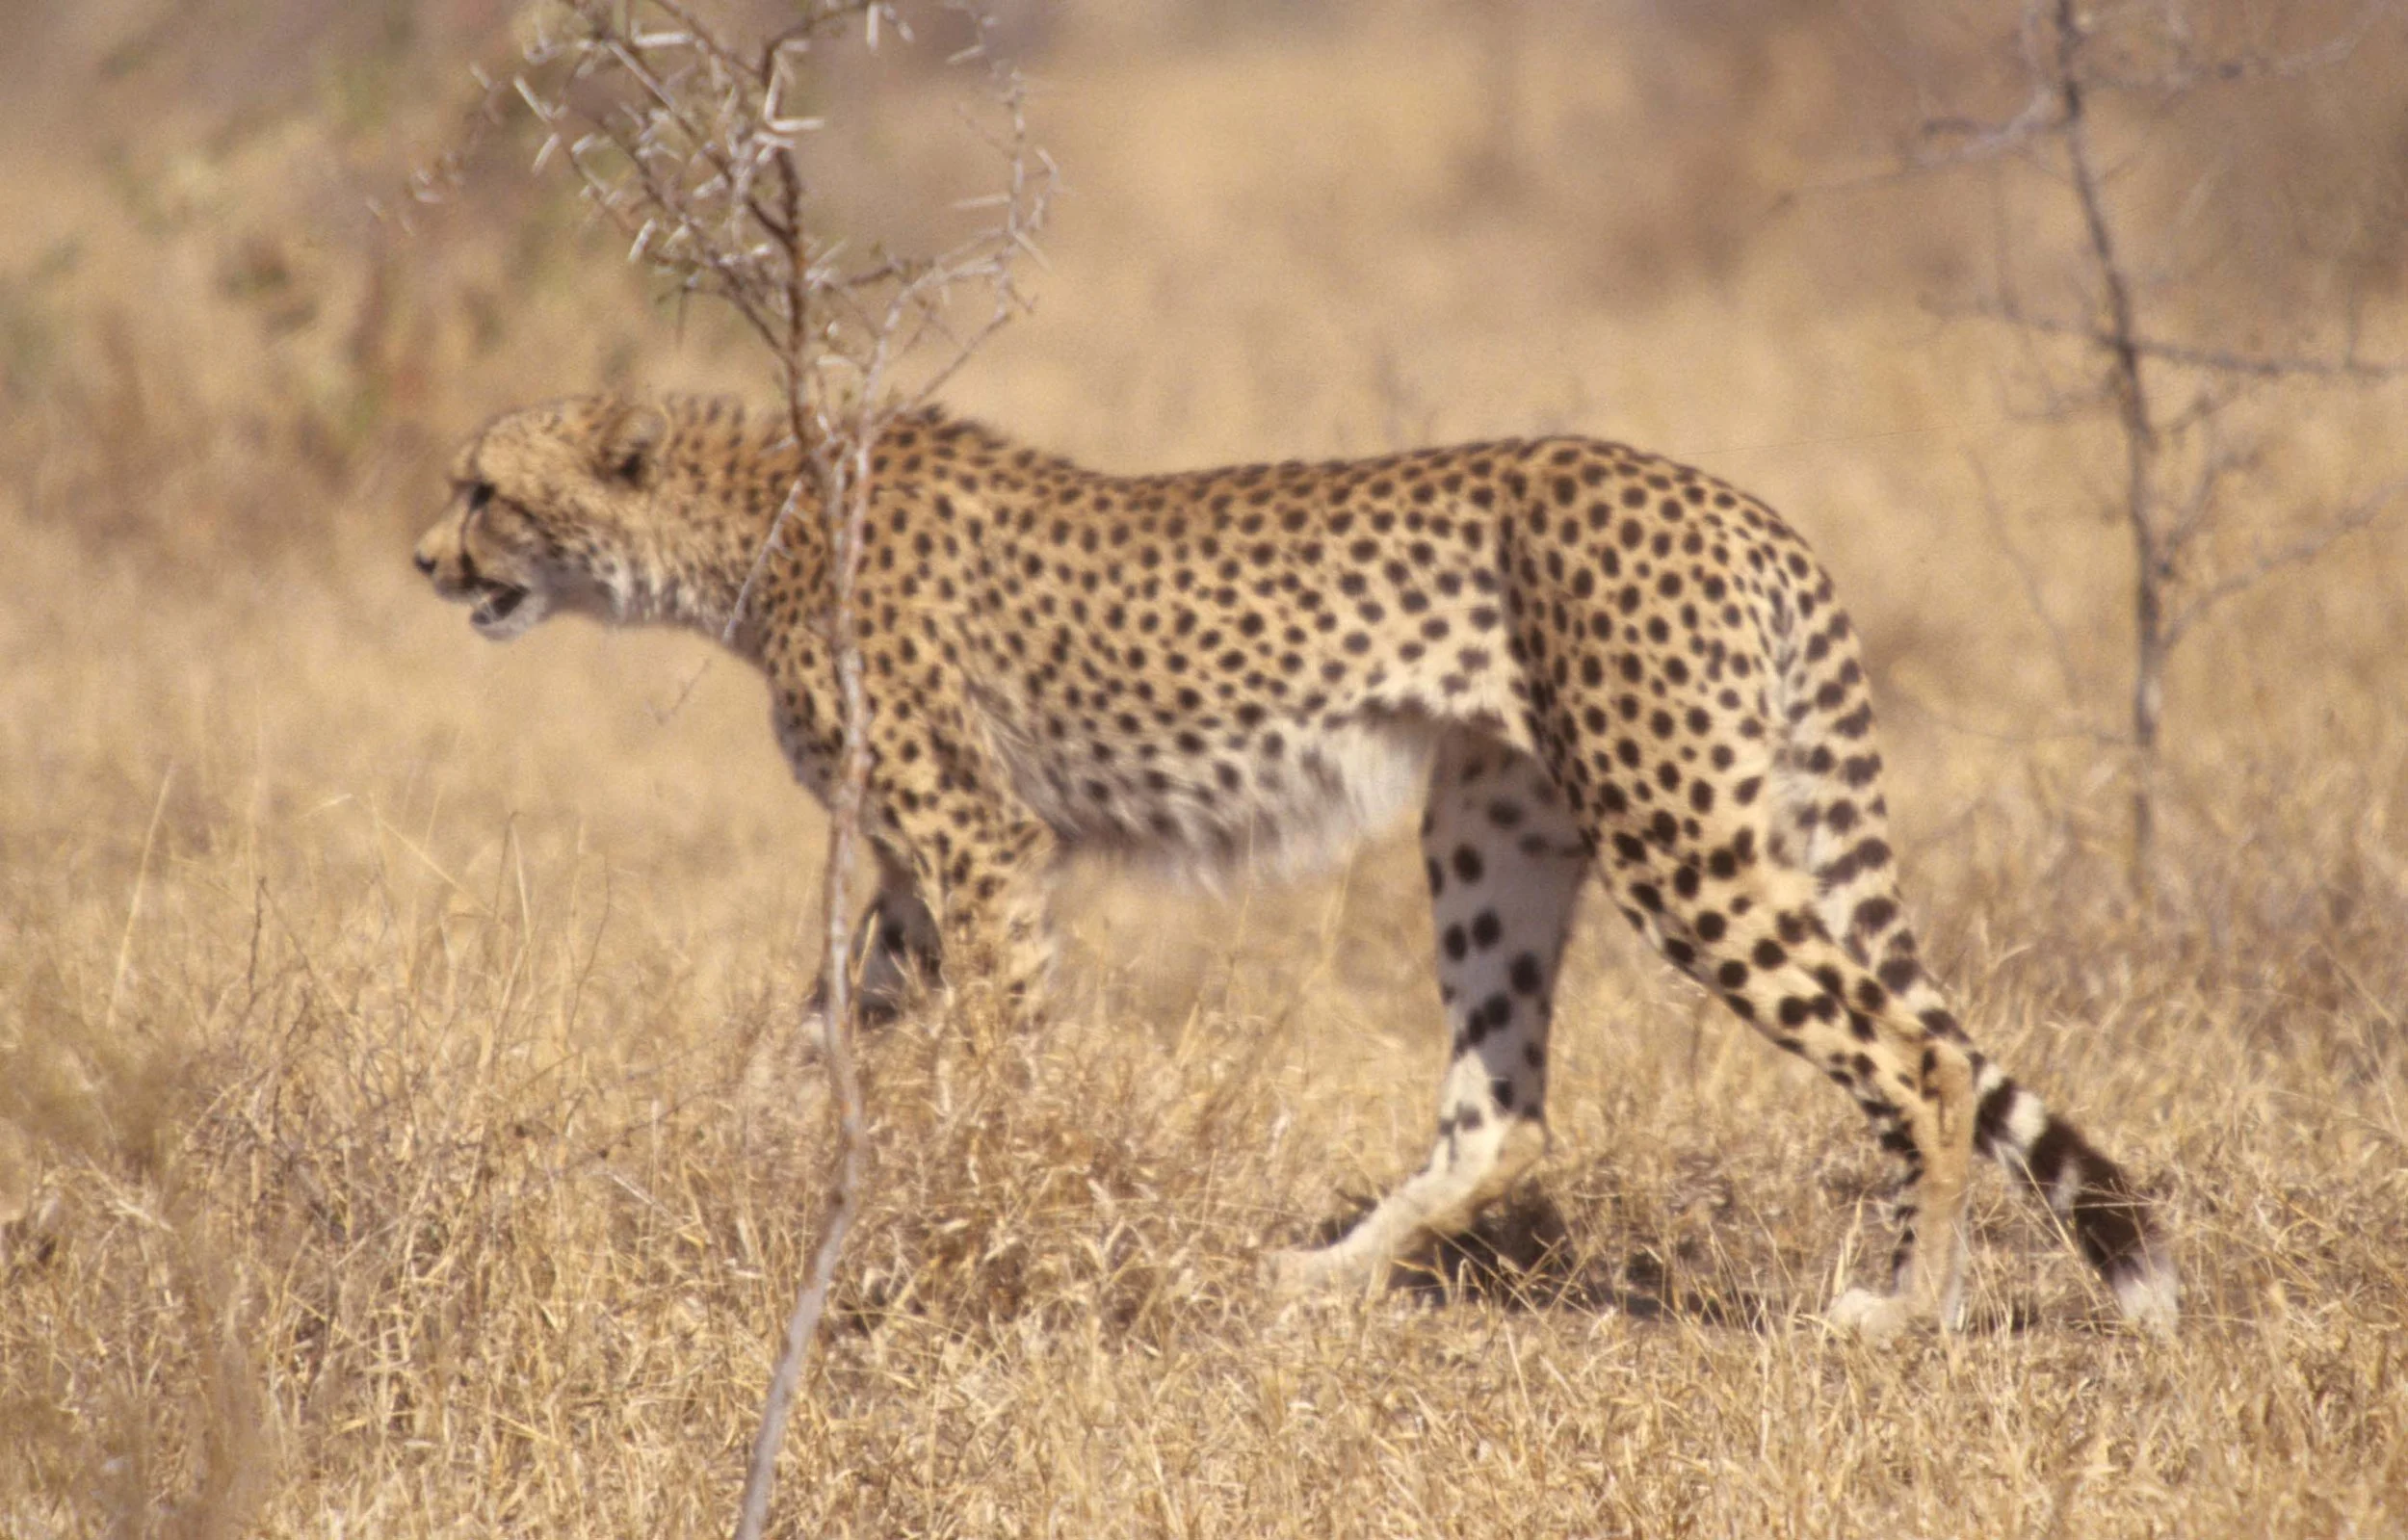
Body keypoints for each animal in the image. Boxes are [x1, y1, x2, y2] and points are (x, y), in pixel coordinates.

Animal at [414, 393, 2179, 1336]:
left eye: (484, 487)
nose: (424, 558)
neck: (758, 518)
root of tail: (1737, 499)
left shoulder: (986, 850)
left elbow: (995, 1065)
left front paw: (987, 1209)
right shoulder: (915, 890)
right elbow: (812, 1035)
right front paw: (717, 1156)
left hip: (1683, 836)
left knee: (1920, 1053)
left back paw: (1908, 1300)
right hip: (1494, 830)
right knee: (1506, 1105)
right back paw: (1323, 1271)